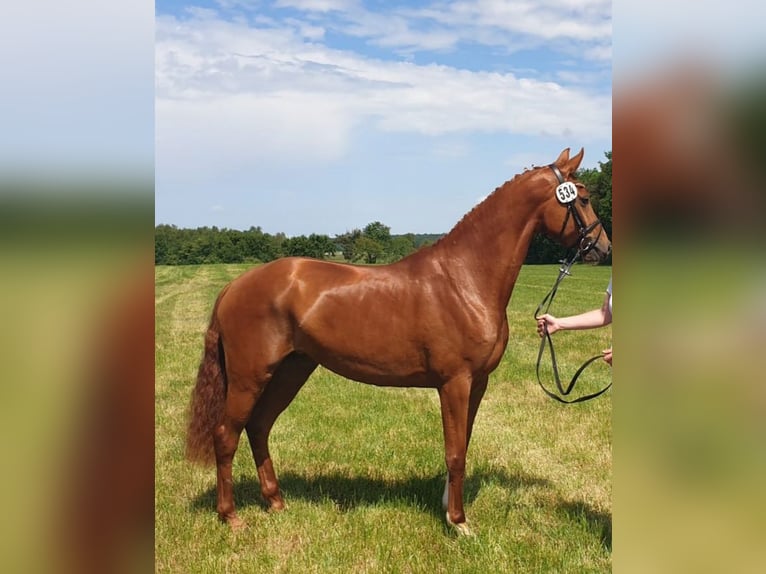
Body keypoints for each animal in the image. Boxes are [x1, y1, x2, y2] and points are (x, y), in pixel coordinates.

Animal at [184, 147, 612, 536]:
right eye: (583, 198)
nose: (603, 248)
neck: (465, 279)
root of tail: (234, 286)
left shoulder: (477, 384)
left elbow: (463, 445)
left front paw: (448, 509)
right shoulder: (454, 383)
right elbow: (455, 453)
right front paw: (459, 523)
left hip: (292, 370)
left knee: (259, 427)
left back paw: (275, 502)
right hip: (250, 377)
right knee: (226, 435)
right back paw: (231, 517)